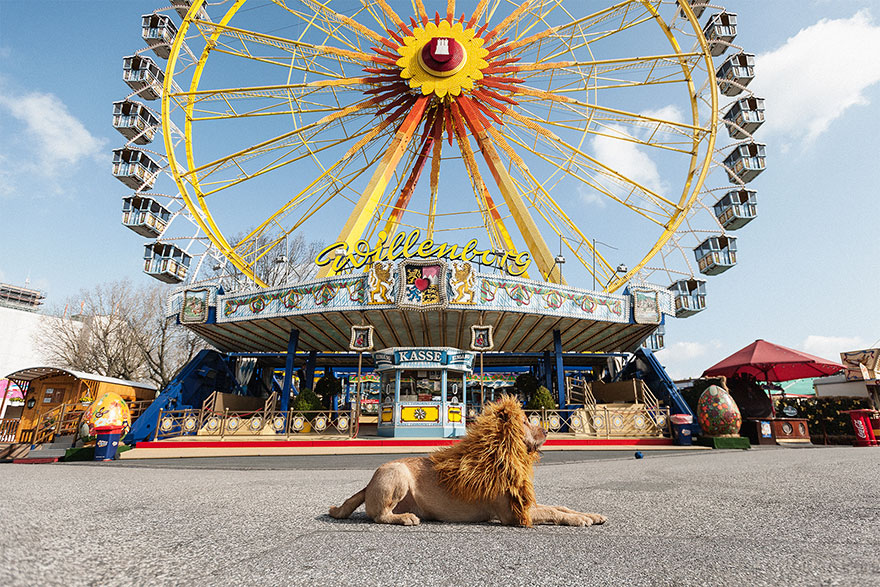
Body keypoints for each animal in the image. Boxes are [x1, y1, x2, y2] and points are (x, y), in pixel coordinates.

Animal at [329, 396, 606, 527]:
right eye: (525, 422)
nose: (547, 431)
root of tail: (367, 485)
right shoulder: (513, 513)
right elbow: (553, 512)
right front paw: (579, 520)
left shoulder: (524, 503)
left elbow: (561, 507)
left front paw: (591, 514)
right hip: (397, 473)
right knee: (379, 515)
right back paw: (405, 518)